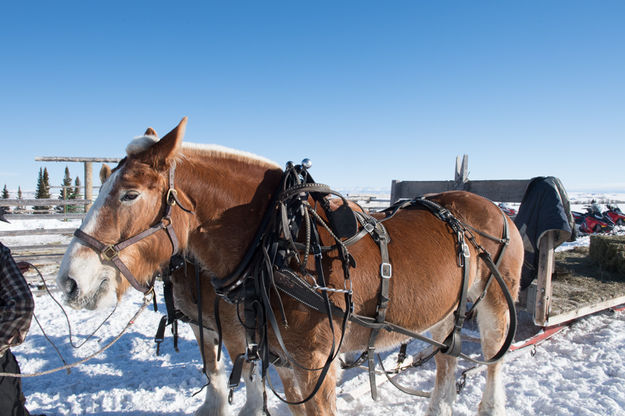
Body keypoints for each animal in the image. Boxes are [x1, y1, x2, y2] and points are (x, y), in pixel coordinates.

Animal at [56, 118, 520, 416]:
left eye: (130, 194)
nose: (70, 281)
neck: (282, 245)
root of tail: (495, 208)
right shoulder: (279, 360)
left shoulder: (315, 366)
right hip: (444, 312)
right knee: (447, 360)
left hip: (497, 306)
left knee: (493, 364)